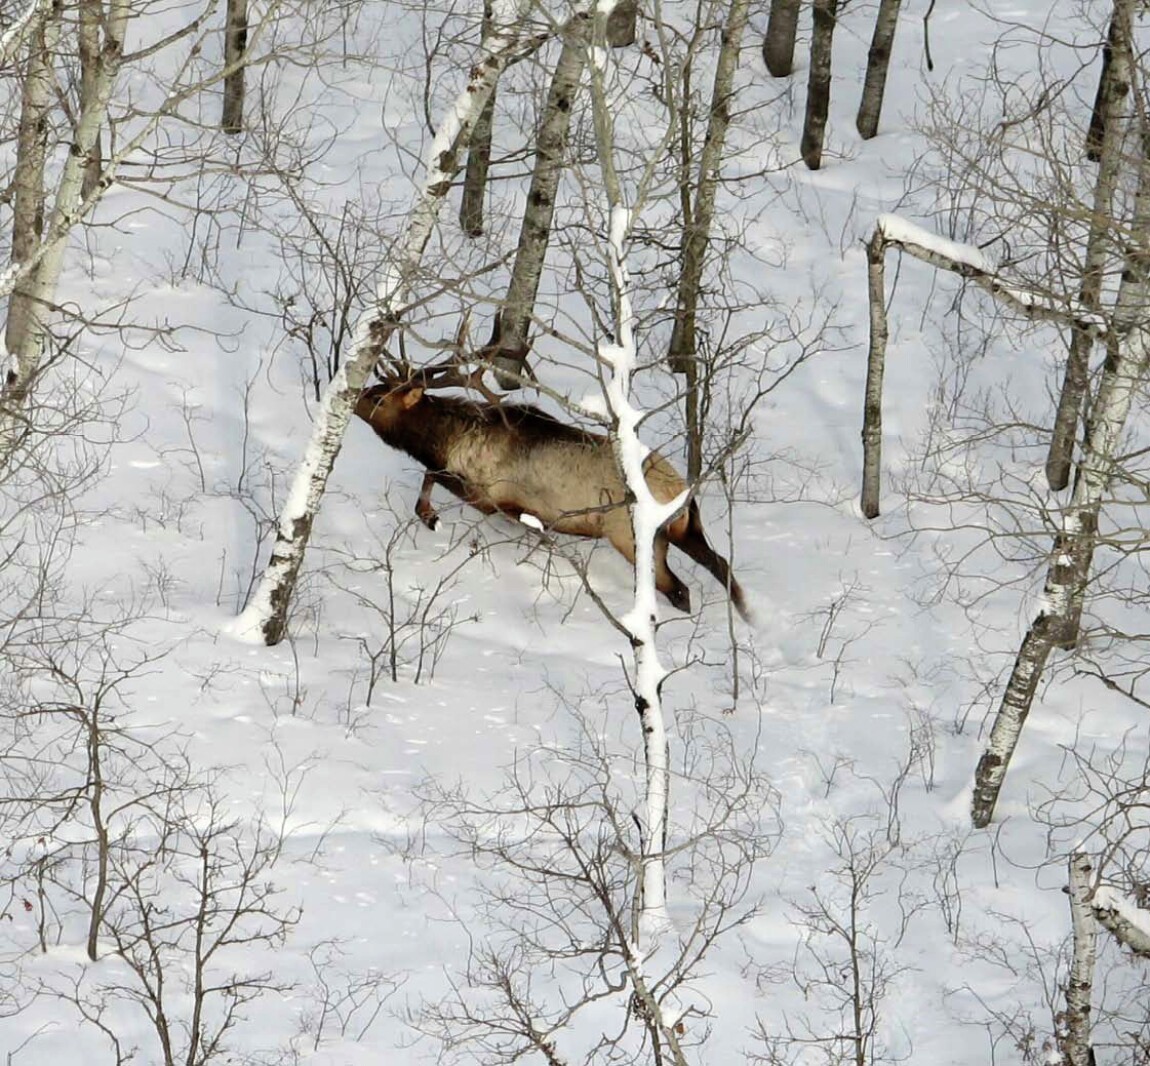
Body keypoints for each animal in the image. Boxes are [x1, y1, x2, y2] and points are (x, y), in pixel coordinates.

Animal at [354, 333, 750, 621]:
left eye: (379, 398)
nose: (353, 394)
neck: (448, 440)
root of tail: (681, 490)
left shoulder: (491, 496)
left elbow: (431, 475)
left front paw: (430, 516)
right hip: (683, 531)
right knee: (719, 566)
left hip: (633, 536)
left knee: (679, 588)